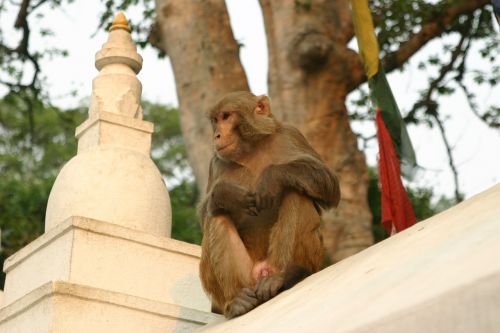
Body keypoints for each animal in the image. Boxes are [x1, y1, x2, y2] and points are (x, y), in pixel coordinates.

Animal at [199, 90, 340, 316]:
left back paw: (285, 275)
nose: (217, 135)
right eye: (215, 120)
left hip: (303, 258)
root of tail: (261, 271)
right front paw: (226, 195)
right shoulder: (216, 161)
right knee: (217, 216)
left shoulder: (291, 134)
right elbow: (205, 215)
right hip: (246, 277)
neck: (252, 149)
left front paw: (271, 177)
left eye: (226, 116)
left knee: (295, 193)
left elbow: (330, 185)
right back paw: (236, 301)